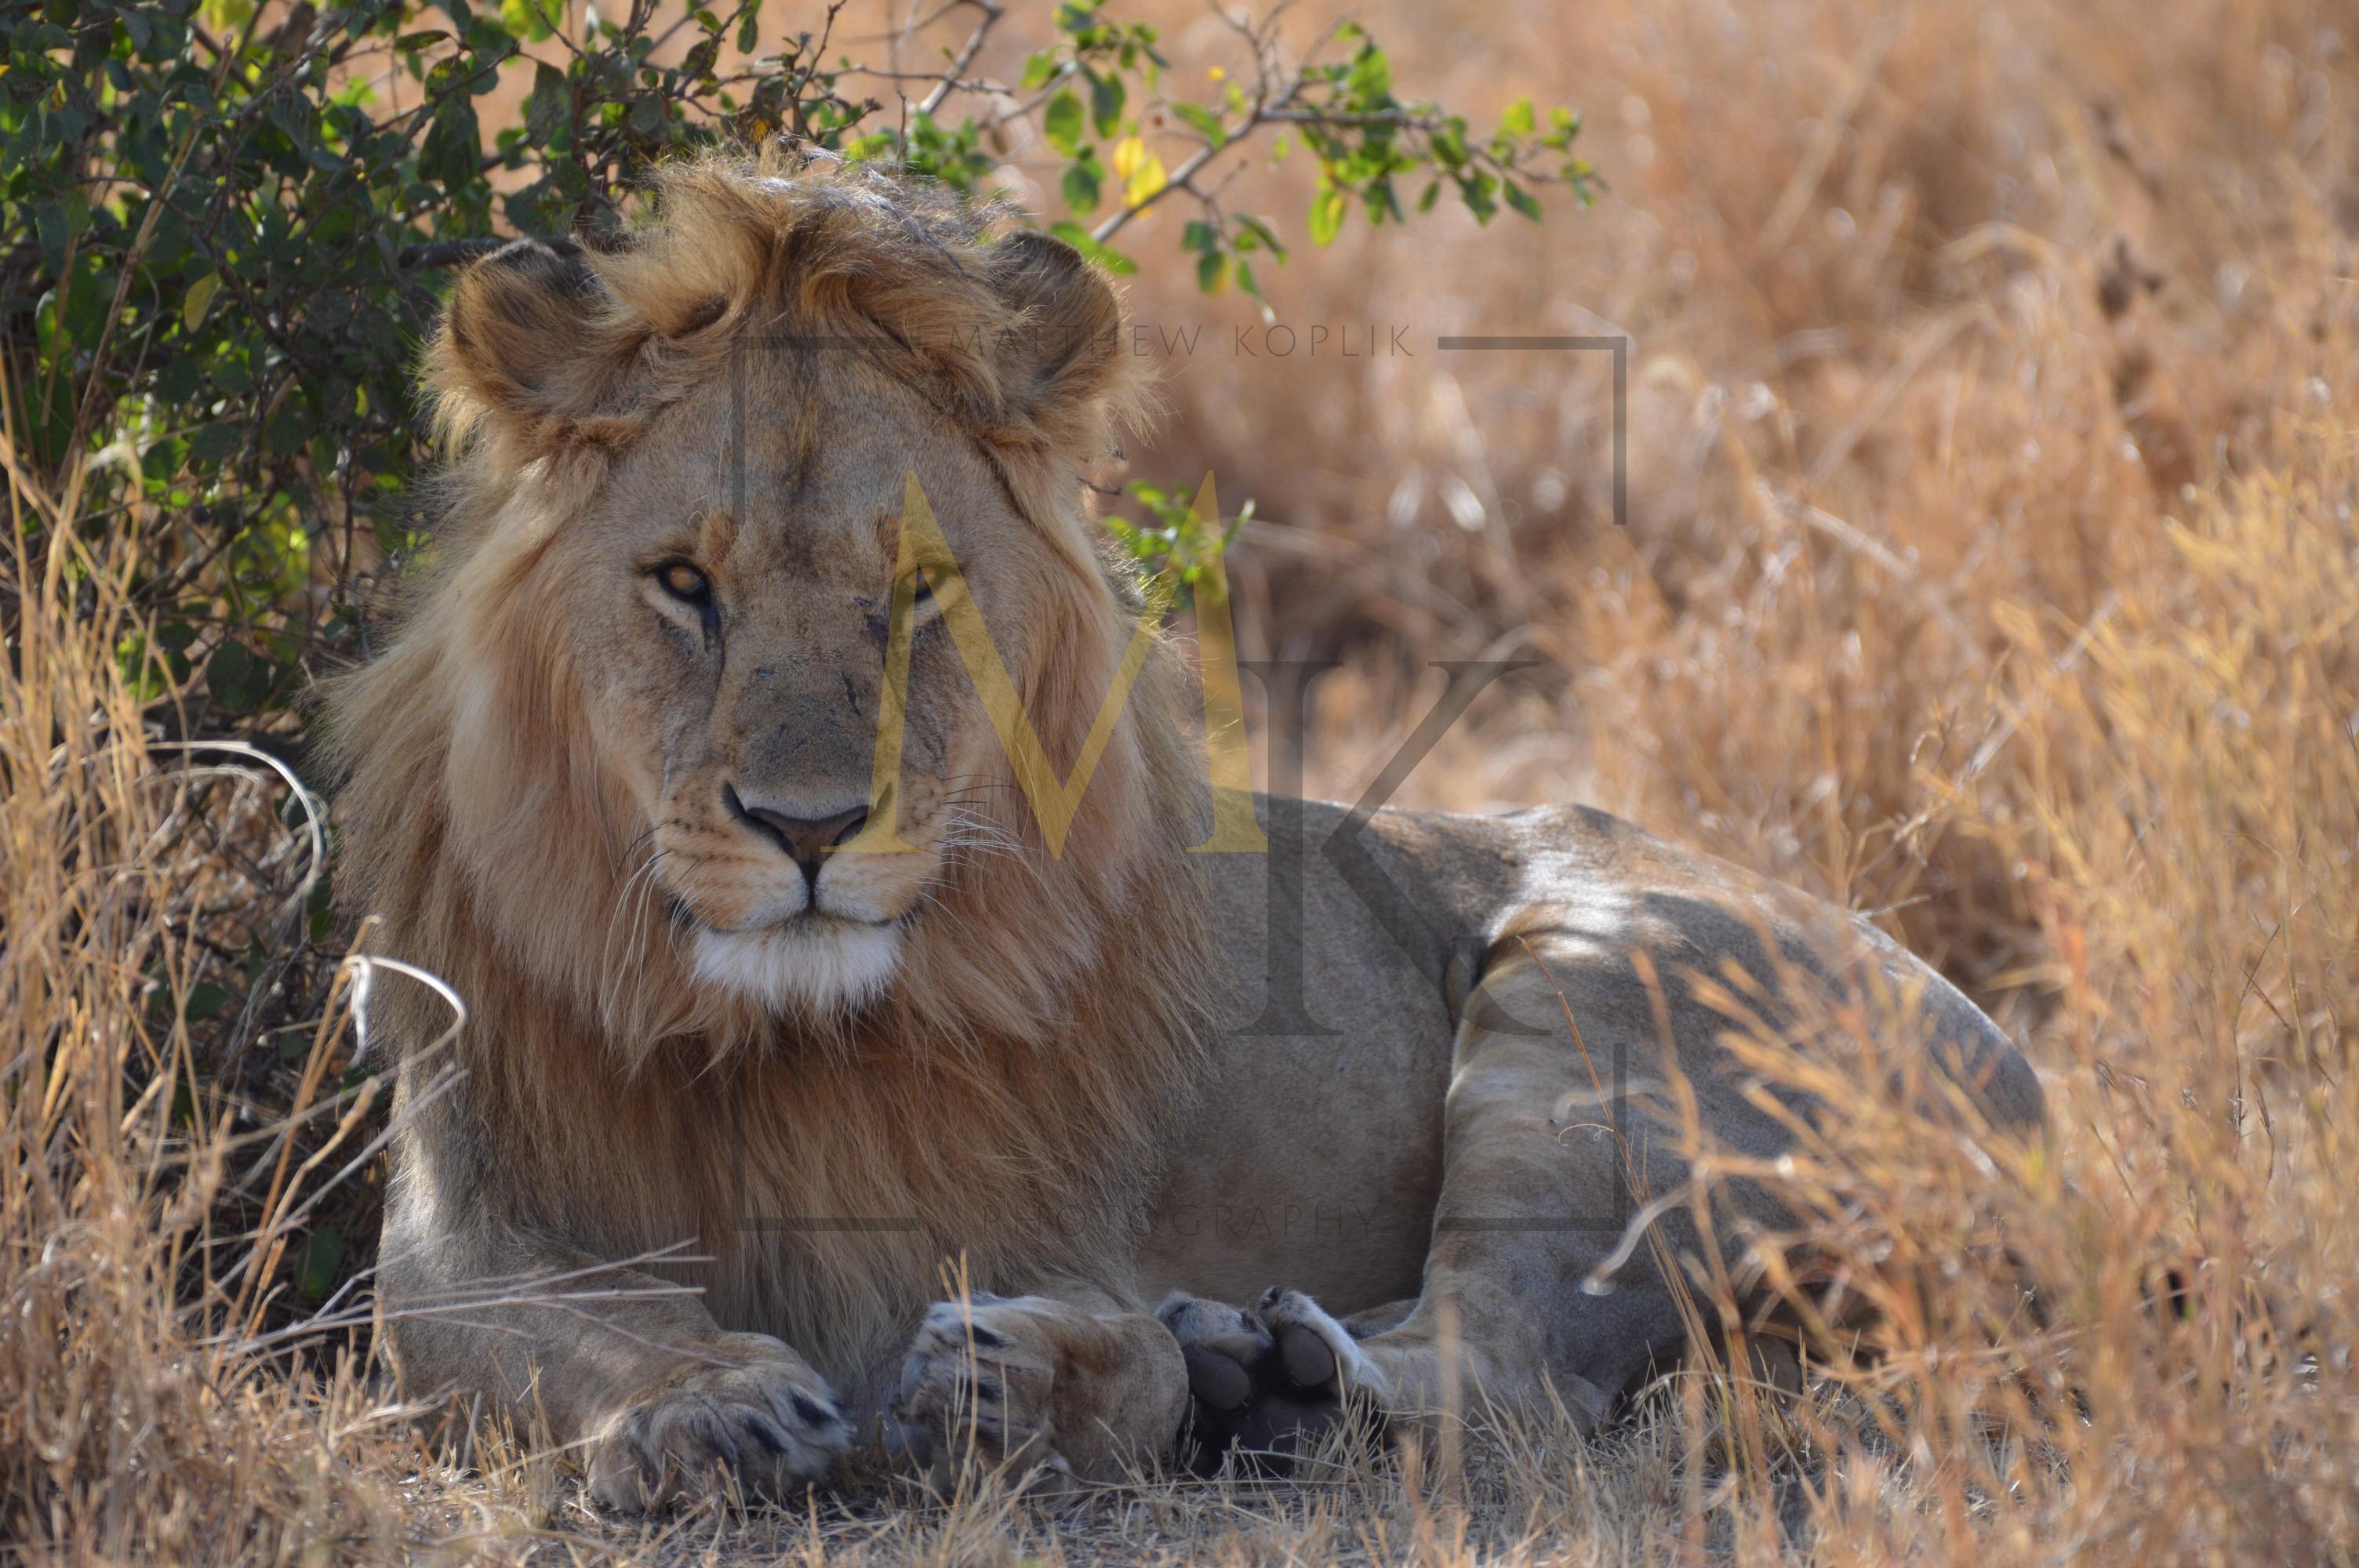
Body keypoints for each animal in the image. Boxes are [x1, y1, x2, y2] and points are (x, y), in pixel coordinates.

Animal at [325, 149, 2044, 1510]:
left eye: (919, 588)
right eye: (685, 582)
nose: (807, 829)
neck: (785, 1039)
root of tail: (2027, 1081)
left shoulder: (1055, 1226)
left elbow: (1103, 1343)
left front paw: (1036, 1384)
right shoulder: (453, 1229)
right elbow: (556, 1326)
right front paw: (703, 1403)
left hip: (1592, 992)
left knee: (1506, 1374)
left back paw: (1274, 1373)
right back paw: (1250, 1369)